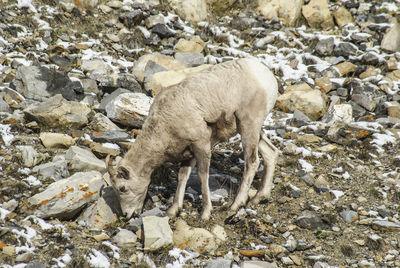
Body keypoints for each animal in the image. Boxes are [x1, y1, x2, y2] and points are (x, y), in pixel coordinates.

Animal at [109, 58, 278, 220]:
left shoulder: (201, 145)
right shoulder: (188, 152)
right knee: (271, 153)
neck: (165, 123)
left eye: (122, 188)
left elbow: (202, 176)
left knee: (252, 162)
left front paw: (205, 213)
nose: (127, 215)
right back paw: (259, 197)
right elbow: (182, 176)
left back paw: (235, 205)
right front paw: (173, 210)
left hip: (248, 125)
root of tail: (267, 77)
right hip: (252, 130)